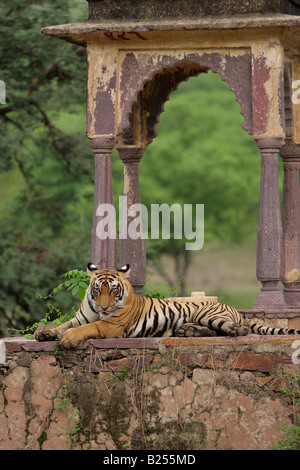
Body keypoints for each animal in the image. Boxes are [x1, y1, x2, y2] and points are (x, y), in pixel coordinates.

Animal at [35, 262, 300, 346]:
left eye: (114, 290)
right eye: (98, 289)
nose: (103, 307)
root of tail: (235, 309)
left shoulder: (112, 325)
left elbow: (88, 328)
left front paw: (68, 339)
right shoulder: (79, 317)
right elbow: (63, 324)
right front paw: (44, 333)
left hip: (207, 312)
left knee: (235, 329)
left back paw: (234, 329)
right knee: (211, 331)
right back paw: (187, 331)